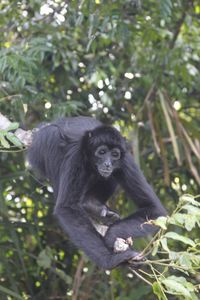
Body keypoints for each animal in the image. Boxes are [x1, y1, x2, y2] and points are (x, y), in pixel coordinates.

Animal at [27, 116, 166, 270]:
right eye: (102, 152)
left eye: (115, 155)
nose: (108, 164)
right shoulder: (76, 156)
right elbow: (67, 209)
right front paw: (111, 260)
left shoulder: (125, 160)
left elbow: (155, 210)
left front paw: (112, 235)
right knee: (54, 138)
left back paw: (92, 205)